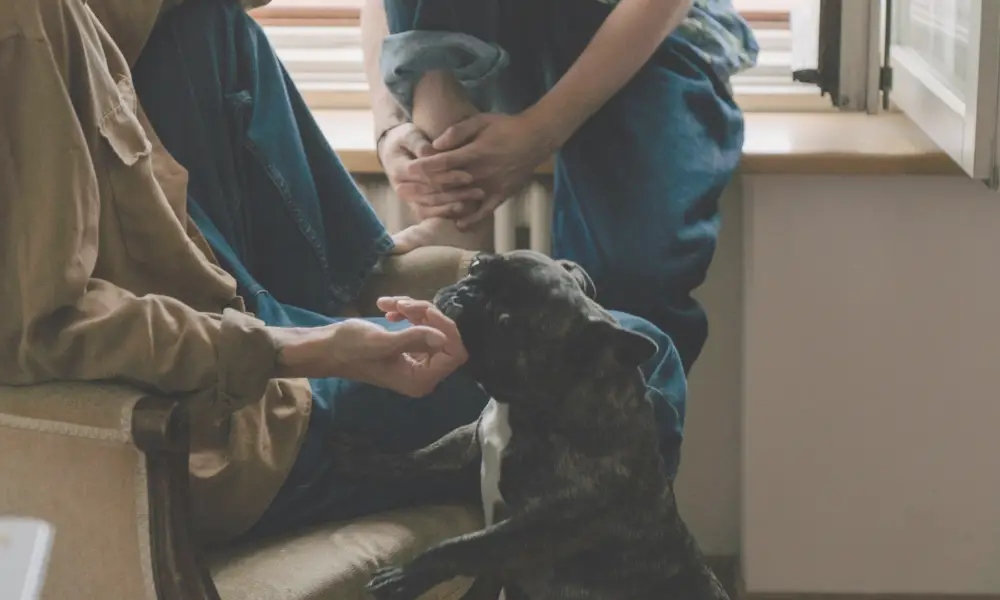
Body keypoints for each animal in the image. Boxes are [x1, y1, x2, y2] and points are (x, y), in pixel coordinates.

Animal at [328, 250, 728, 600]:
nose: (467, 295)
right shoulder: (469, 440)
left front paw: (405, 575)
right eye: (476, 265)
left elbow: (462, 547)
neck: (529, 406)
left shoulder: (536, 527)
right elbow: (418, 458)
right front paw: (361, 458)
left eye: (506, 322)